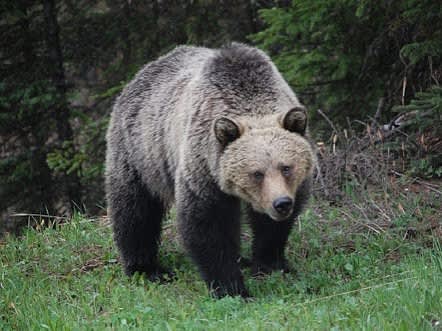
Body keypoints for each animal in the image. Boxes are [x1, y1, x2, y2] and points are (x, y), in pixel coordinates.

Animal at [105, 42, 316, 300]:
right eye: (256, 173)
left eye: (286, 167)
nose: (281, 203)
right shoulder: (203, 168)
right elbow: (208, 224)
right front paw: (232, 288)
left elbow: (271, 228)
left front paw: (271, 264)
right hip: (139, 153)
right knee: (135, 210)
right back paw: (146, 269)